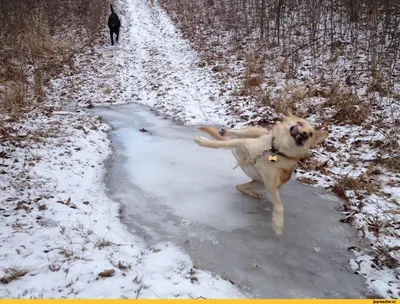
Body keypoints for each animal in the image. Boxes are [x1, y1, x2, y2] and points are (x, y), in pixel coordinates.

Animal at [194, 113, 328, 236]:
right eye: (300, 123)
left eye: (310, 134)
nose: (305, 134)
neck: (274, 151)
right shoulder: (243, 143)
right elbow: (219, 144)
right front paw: (204, 142)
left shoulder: (270, 187)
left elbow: (280, 206)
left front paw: (278, 224)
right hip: (252, 132)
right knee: (236, 133)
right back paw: (225, 130)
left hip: (260, 183)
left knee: (239, 186)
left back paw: (253, 193)